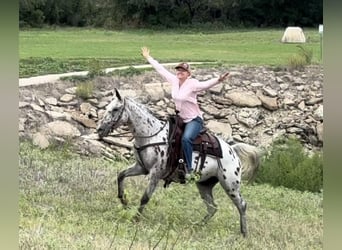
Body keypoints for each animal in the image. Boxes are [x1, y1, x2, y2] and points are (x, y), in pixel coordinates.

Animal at [96, 89, 260, 237]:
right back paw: (198, 225)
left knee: (242, 205)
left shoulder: (155, 173)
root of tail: (232, 150)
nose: (99, 129)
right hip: (204, 185)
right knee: (212, 207)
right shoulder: (141, 168)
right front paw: (123, 200)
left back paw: (244, 233)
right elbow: (121, 175)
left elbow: (145, 197)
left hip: (230, 184)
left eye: (115, 109)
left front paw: (136, 218)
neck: (151, 135)